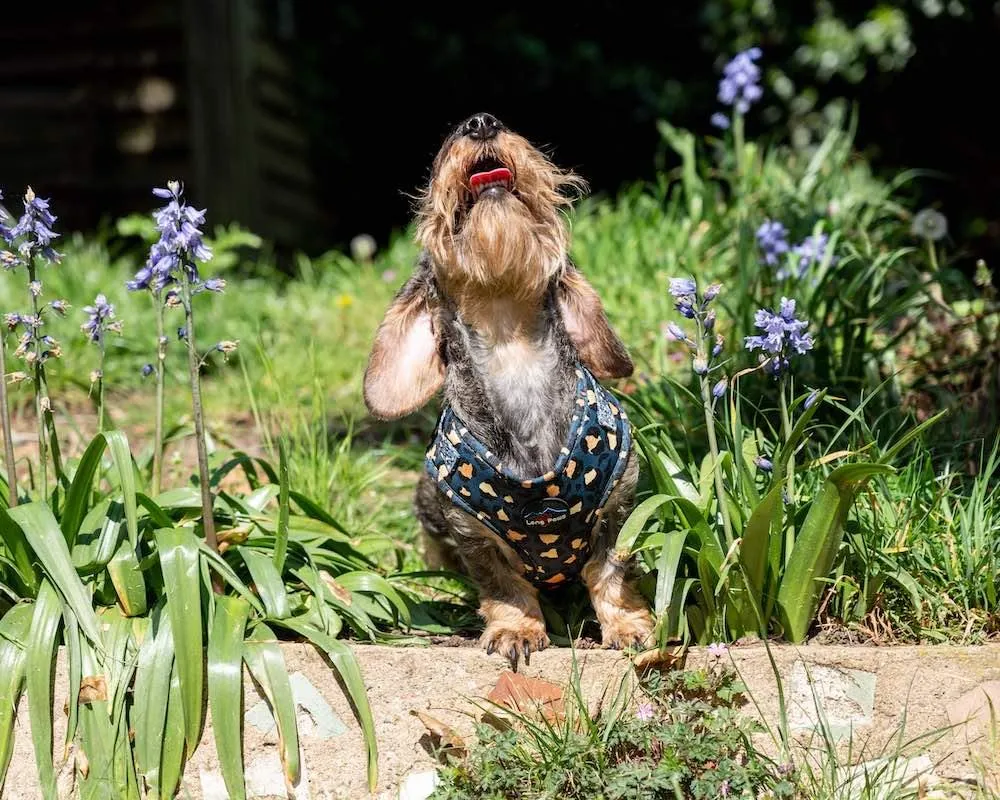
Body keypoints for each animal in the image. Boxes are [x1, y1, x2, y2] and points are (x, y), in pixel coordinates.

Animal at [364, 112, 652, 668]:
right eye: (440, 153)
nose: (480, 122)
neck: (511, 348)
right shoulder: (470, 531)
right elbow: (503, 586)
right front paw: (516, 630)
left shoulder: (619, 505)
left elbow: (610, 570)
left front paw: (628, 626)